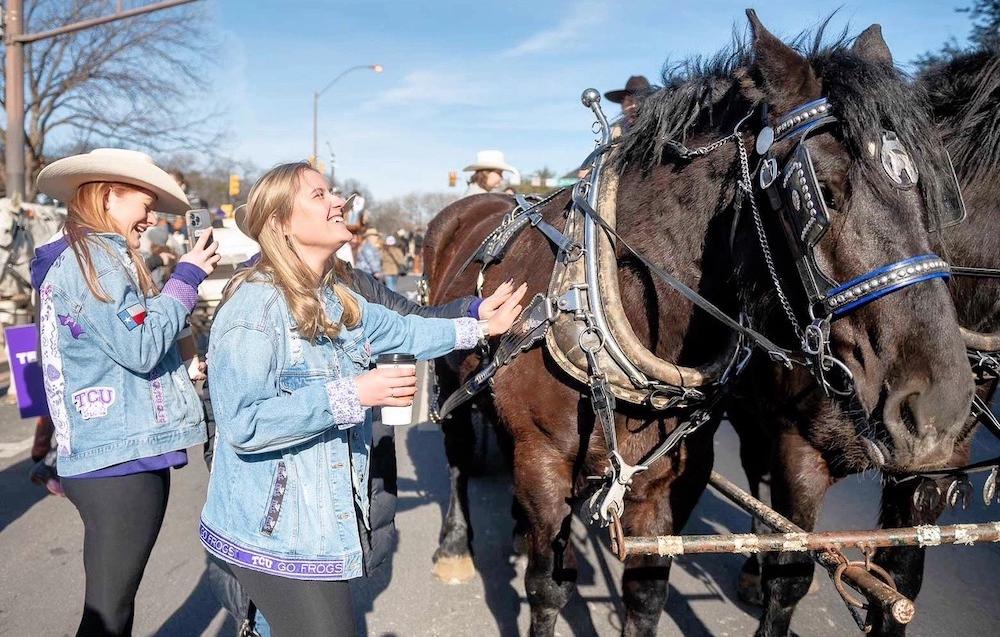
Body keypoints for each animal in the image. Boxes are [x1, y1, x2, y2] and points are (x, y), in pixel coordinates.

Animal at [426, 12, 972, 632]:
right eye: (823, 194)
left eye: (929, 197)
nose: (940, 410)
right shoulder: (543, 465)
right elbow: (546, 589)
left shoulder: (673, 484)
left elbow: (646, 596)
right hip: (451, 385)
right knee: (456, 459)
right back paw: (454, 546)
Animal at [728, 44, 1000, 636]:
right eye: (821, 196)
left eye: (930, 200)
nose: (937, 405)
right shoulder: (798, 449)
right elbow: (789, 577)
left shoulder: (930, 473)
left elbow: (899, 587)